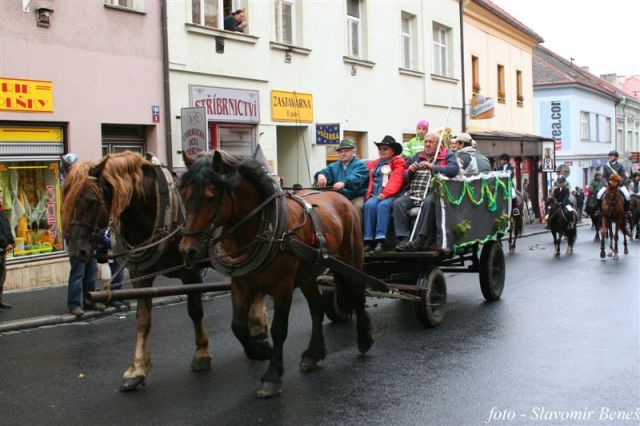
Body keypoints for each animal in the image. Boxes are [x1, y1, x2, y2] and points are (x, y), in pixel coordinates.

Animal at [60, 153, 268, 392]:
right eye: (65, 199)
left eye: (91, 200)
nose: (77, 251)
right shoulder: (140, 276)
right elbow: (142, 320)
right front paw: (137, 369)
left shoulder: (190, 271)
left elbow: (195, 311)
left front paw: (202, 354)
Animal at [178, 151, 372, 400]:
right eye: (184, 195)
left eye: (211, 197)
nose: (187, 250)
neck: (266, 230)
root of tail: (341, 198)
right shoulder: (241, 284)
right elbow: (237, 326)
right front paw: (260, 351)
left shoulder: (283, 286)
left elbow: (279, 329)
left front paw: (272, 376)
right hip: (308, 275)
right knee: (317, 309)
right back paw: (313, 354)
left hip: (350, 259)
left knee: (357, 294)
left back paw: (364, 339)